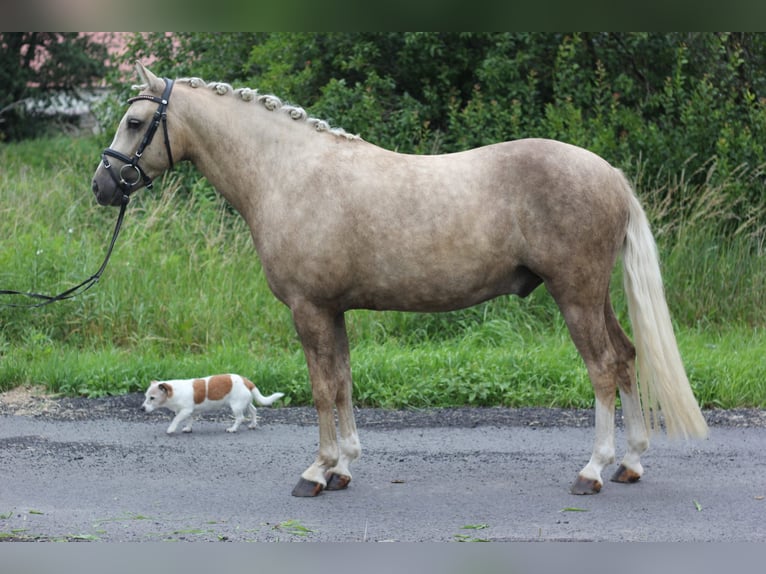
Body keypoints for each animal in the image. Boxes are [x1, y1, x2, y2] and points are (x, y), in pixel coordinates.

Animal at [141, 376, 284, 434]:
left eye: (152, 398)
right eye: (145, 396)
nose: (141, 408)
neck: (174, 391)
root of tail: (246, 381)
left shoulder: (185, 410)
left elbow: (176, 419)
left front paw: (171, 429)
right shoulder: (190, 412)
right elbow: (189, 420)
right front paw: (188, 428)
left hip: (236, 406)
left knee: (240, 418)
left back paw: (232, 429)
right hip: (246, 402)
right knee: (254, 411)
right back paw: (253, 425)